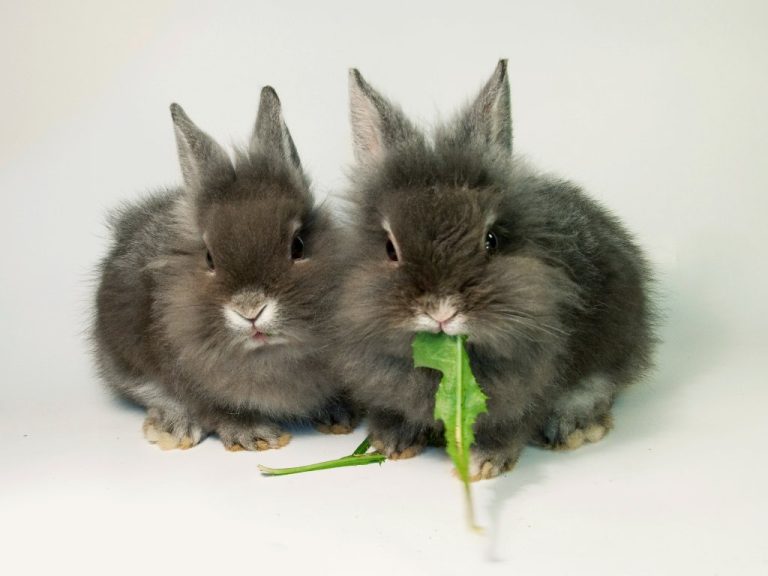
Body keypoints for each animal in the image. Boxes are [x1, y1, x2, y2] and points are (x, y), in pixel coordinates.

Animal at [93, 88, 354, 452]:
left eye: (298, 245)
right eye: (209, 258)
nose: (250, 309)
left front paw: (338, 413)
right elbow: (211, 406)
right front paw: (253, 434)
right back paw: (175, 425)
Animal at [336, 60, 656, 480]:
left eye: (491, 240)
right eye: (391, 248)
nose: (442, 310)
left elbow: (510, 425)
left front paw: (482, 464)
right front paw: (390, 442)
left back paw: (574, 426)